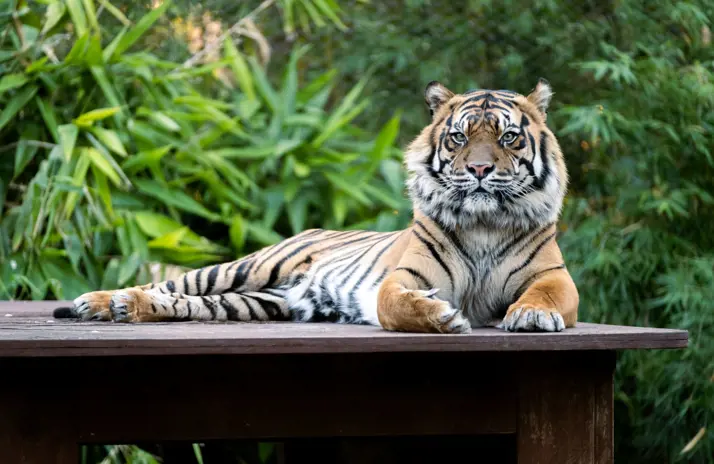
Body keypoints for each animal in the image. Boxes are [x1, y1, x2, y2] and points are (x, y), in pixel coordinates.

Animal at [54, 78, 579, 334]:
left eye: (508, 138)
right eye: (458, 138)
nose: (480, 170)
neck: (484, 221)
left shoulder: (553, 277)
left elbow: (545, 296)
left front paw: (531, 317)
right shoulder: (406, 278)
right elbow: (395, 304)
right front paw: (441, 317)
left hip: (261, 302)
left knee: (185, 304)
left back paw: (125, 308)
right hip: (243, 268)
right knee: (169, 282)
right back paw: (100, 301)